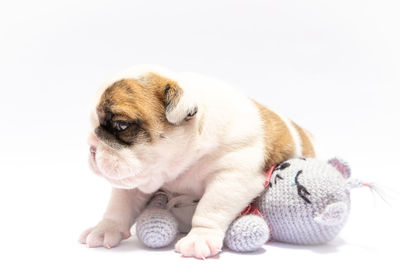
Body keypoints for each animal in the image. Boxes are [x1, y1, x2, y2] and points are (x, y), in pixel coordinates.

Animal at [79, 65, 316, 260]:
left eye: (121, 125)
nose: (91, 148)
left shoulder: (234, 175)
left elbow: (210, 207)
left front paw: (199, 237)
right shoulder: (134, 181)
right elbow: (120, 205)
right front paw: (105, 228)